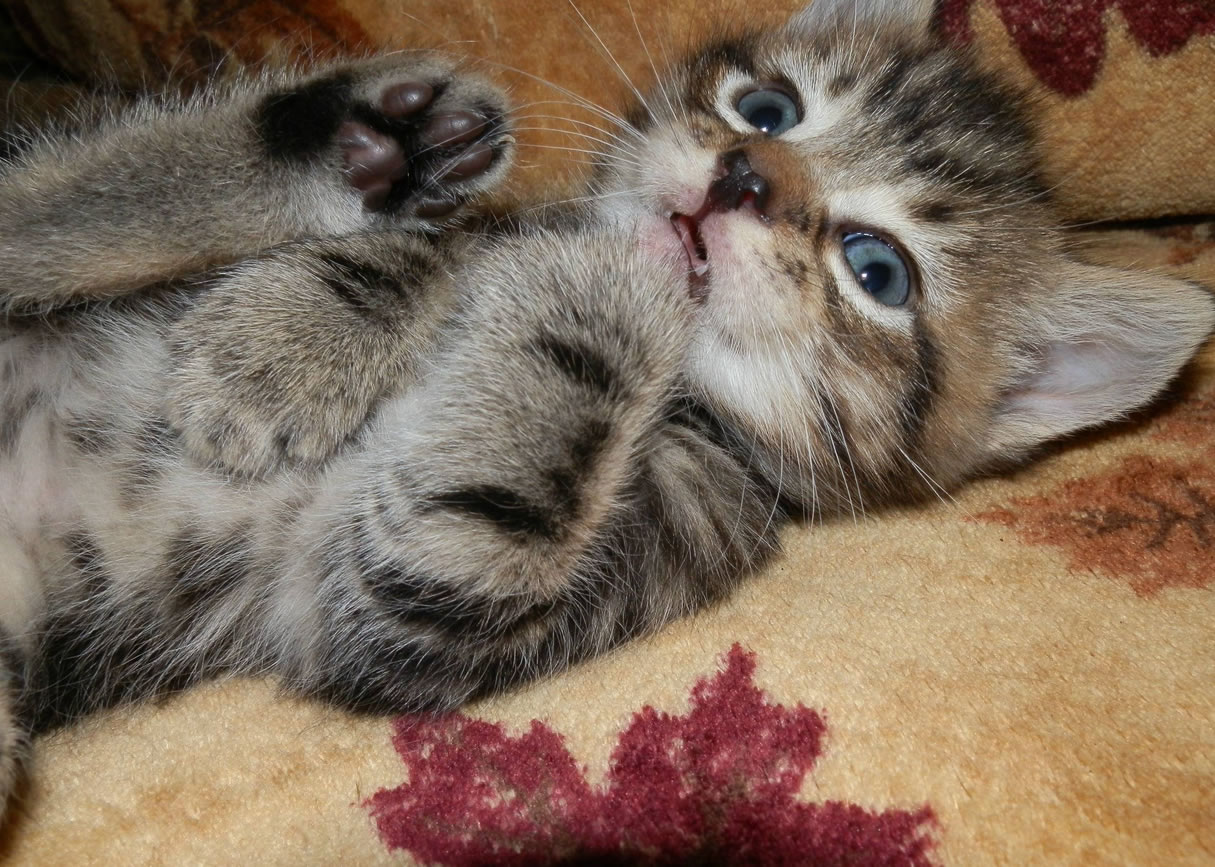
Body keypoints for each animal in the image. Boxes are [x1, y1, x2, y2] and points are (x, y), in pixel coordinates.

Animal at [2, 0, 1215, 816]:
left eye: (879, 271)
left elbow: (487, 509)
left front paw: (606, 292)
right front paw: (292, 338)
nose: (743, 177)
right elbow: (462, 250)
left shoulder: (413, 608)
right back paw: (363, 141)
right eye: (766, 105)